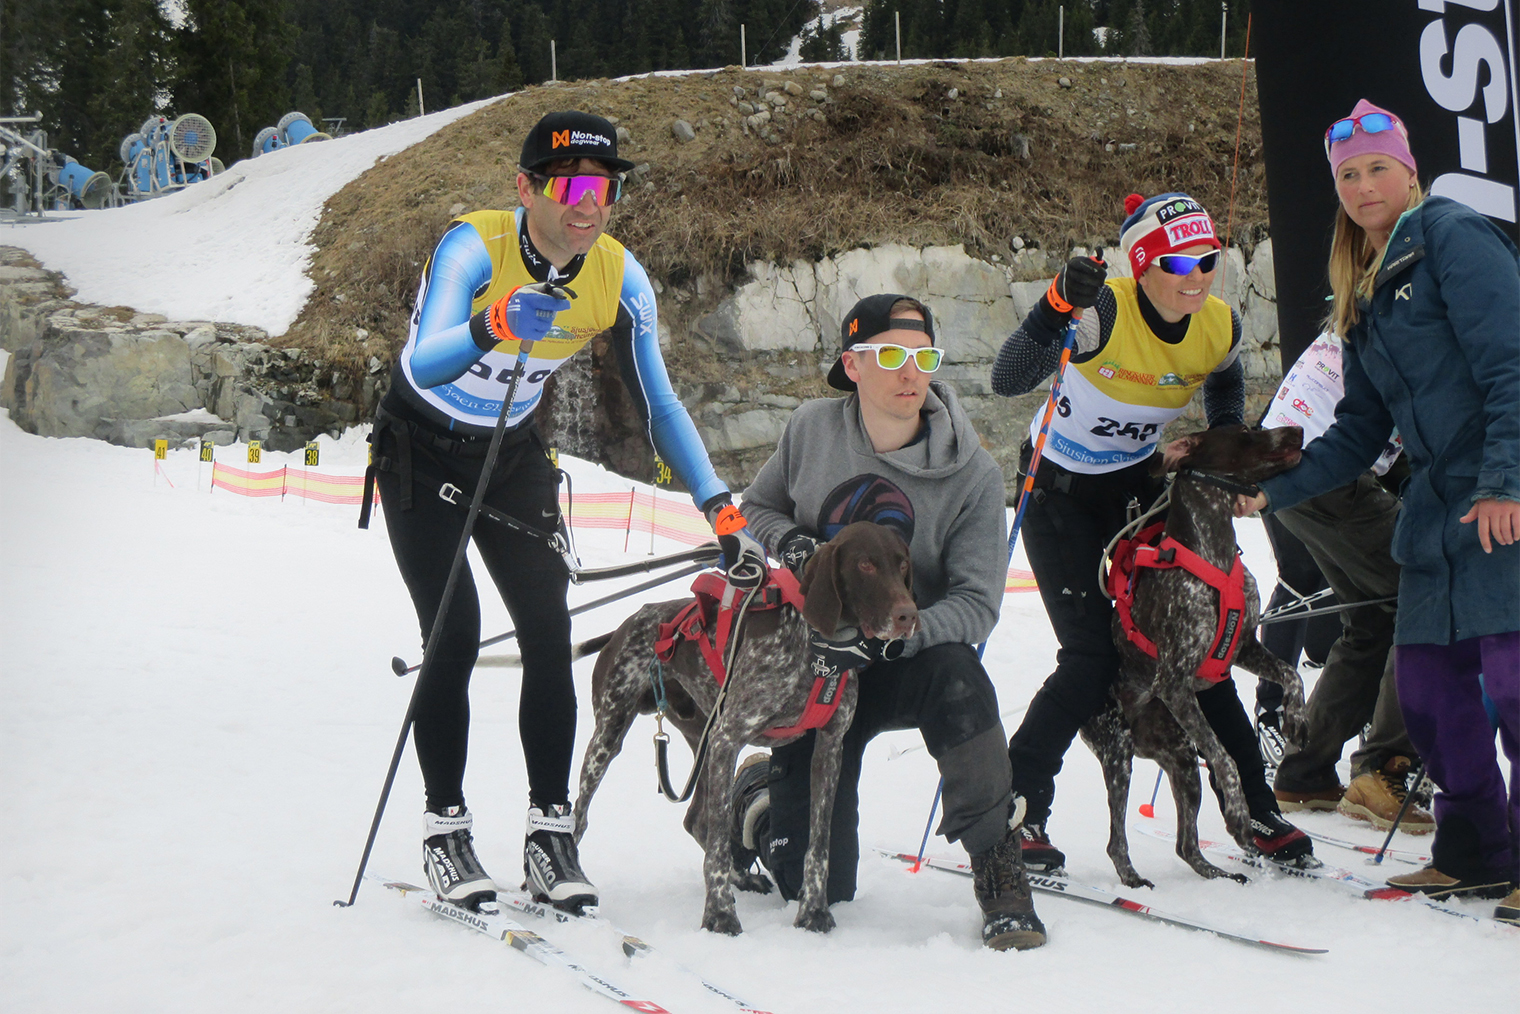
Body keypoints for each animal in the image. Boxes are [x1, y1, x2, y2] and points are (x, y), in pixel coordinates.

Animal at [571, 522, 912, 936]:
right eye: (865, 564)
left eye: (902, 564)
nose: (908, 616)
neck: (818, 653)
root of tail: (628, 623)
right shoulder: (730, 737)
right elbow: (719, 845)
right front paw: (719, 916)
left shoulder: (829, 748)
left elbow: (818, 845)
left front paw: (813, 911)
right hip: (612, 736)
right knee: (580, 815)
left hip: (703, 742)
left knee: (696, 819)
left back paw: (742, 876)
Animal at [1082, 425, 1319, 887]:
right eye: (1245, 434)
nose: (1297, 430)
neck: (1214, 552)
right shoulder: (1175, 683)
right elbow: (1226, 757)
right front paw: (1241, 815)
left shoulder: (1244, 646)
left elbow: (1290, 673)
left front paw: (1296, 719)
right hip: (1119, 754)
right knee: (1116, 839)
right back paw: (1132, 876)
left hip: (1182, 759)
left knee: (1186, 845)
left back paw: (1218, 873)